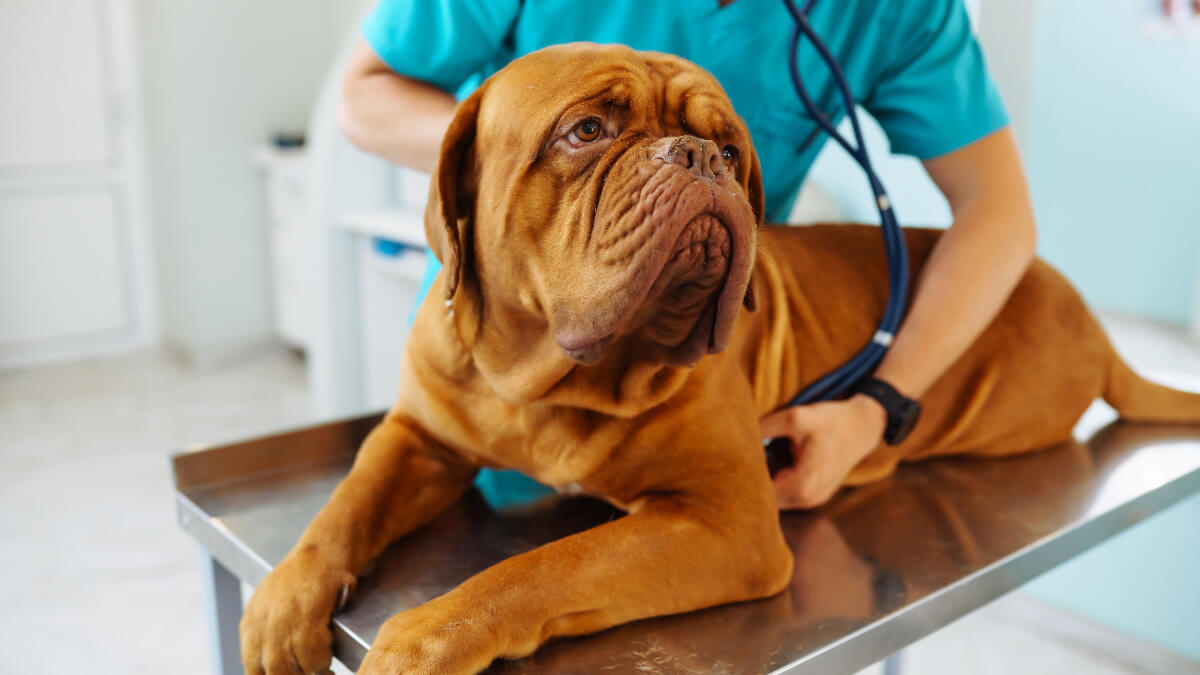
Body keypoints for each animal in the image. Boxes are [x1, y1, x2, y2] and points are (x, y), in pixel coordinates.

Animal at [236, 43, 1200, 672]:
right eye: (587, 130)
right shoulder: (417, 439)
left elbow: (541, 566)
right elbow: (343, 506)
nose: (703, 157)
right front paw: (284, 598)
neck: (544, 381)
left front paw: (428, 635)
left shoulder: (724, 523)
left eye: (733, 146)